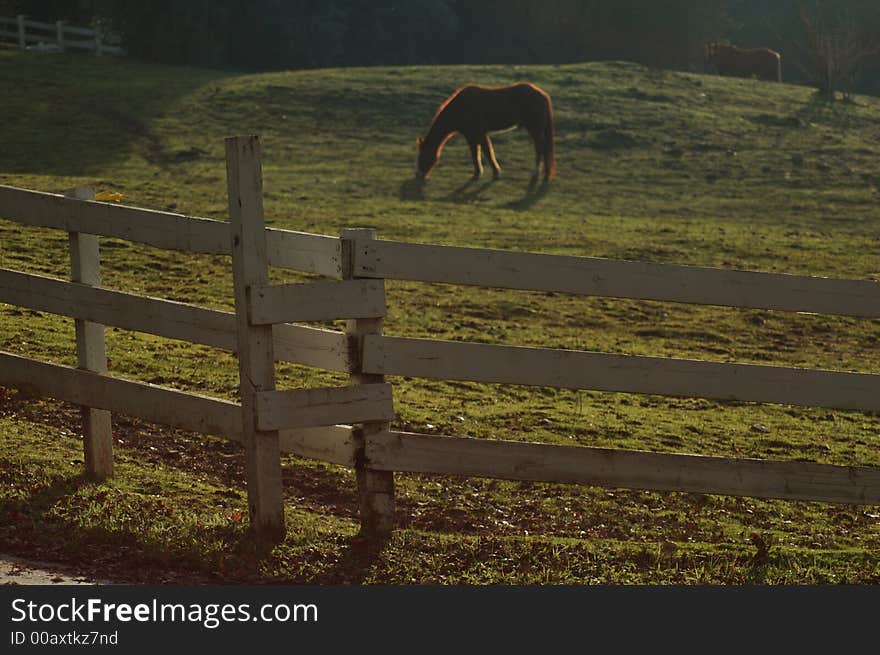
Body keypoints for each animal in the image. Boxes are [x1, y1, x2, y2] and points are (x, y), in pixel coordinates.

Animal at [414, 83, 552, 184]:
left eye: (422, 156)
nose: (419, 175)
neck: (460, 108)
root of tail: (543, 95)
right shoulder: (470, 136)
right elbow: (475, 154)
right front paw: (477, 173)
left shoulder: (479, 134)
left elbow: (487, 152)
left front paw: (496, 173)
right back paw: (545, 175)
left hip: (535, 130)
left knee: (540, 149)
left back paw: (536, 174)